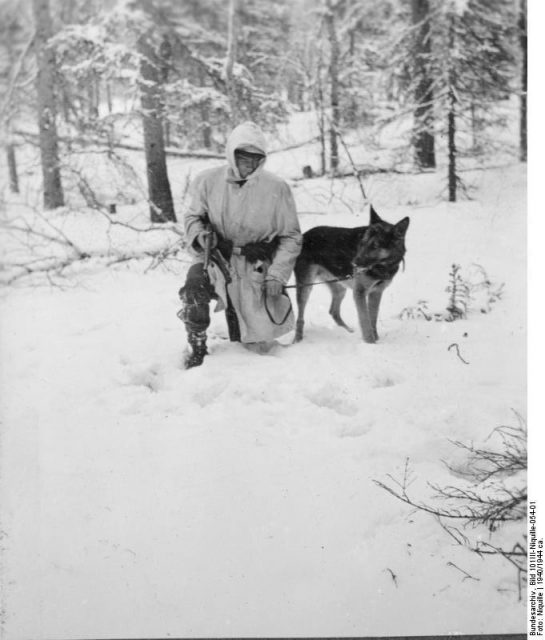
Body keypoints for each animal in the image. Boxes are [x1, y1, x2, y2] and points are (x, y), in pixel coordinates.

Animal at [294, 208, 408, 342]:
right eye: (362, 243)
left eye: (375, 246)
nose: (354, 263)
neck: (381, 266)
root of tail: (304, 236)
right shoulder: (359, 292)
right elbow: (365, 320)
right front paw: (370, 342)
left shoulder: (376, 292)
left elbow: (372, 319)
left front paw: (375, 339)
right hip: (306, 287)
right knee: (300, 317)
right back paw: (297, 339)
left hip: (339, 288)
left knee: (333, 311)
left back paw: (348, 331)